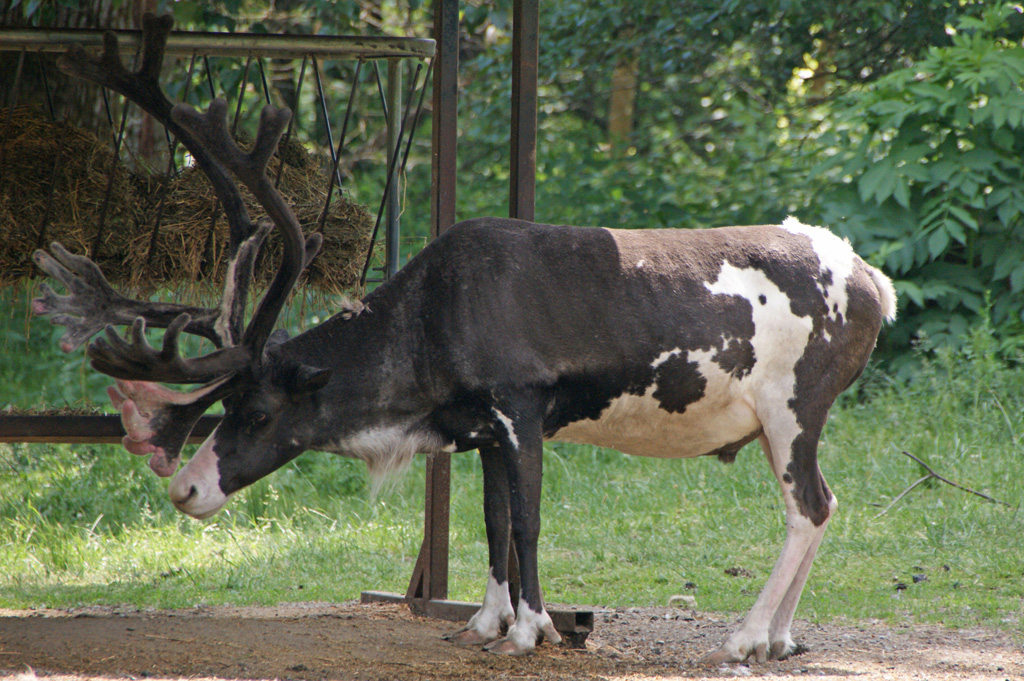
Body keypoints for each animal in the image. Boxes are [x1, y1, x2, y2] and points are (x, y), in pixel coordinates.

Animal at [32, 14, 897, 665]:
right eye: (224, 399)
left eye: (261, 411)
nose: (184, 488)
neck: (425, 352)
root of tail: (875, 283)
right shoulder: (481, 425)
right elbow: (492, 521)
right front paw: (487, 621)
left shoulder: (522, 401)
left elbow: (529, 522)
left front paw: (533, 628)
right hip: (786, 418)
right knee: (825, 502)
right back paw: (781, 636)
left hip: (794, 403)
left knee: (809, 505)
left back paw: (747, 635)